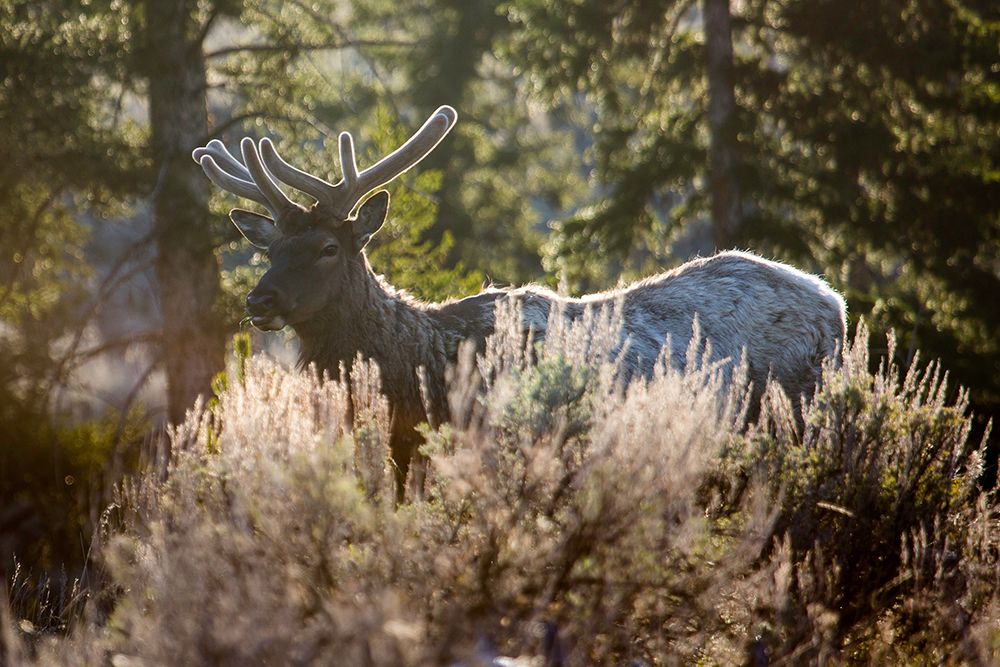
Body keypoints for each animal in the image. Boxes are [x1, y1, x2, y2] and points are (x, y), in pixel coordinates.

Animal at [192, 105, 847, 497]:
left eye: (328, 247)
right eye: (269, 248)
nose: (259, 298)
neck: (422, 373)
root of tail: (834, 303)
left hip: (794, 413)